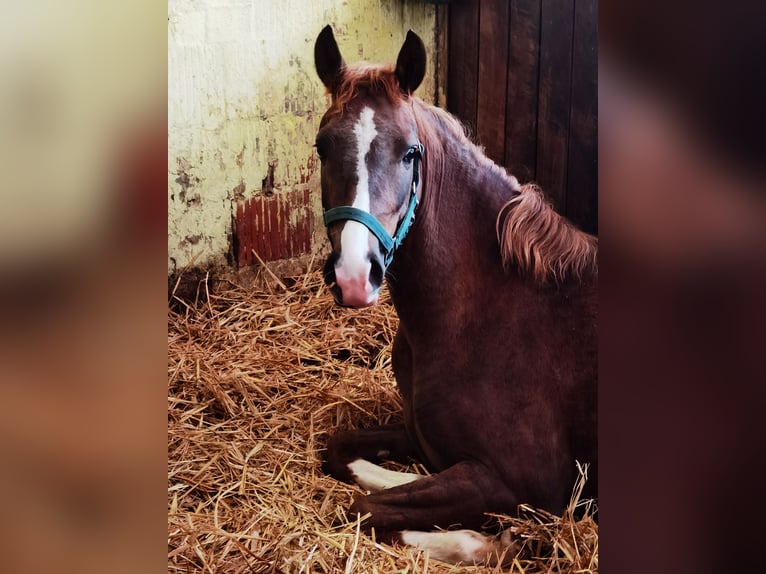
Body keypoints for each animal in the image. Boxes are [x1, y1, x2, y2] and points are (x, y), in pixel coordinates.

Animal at [313, 25, 597, 565]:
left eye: (410, 152)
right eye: (321, 147)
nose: (355, 276)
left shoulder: (526, 484)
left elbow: (363, 508)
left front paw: (492, 541)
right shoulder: (421, 436)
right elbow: (341, 453)